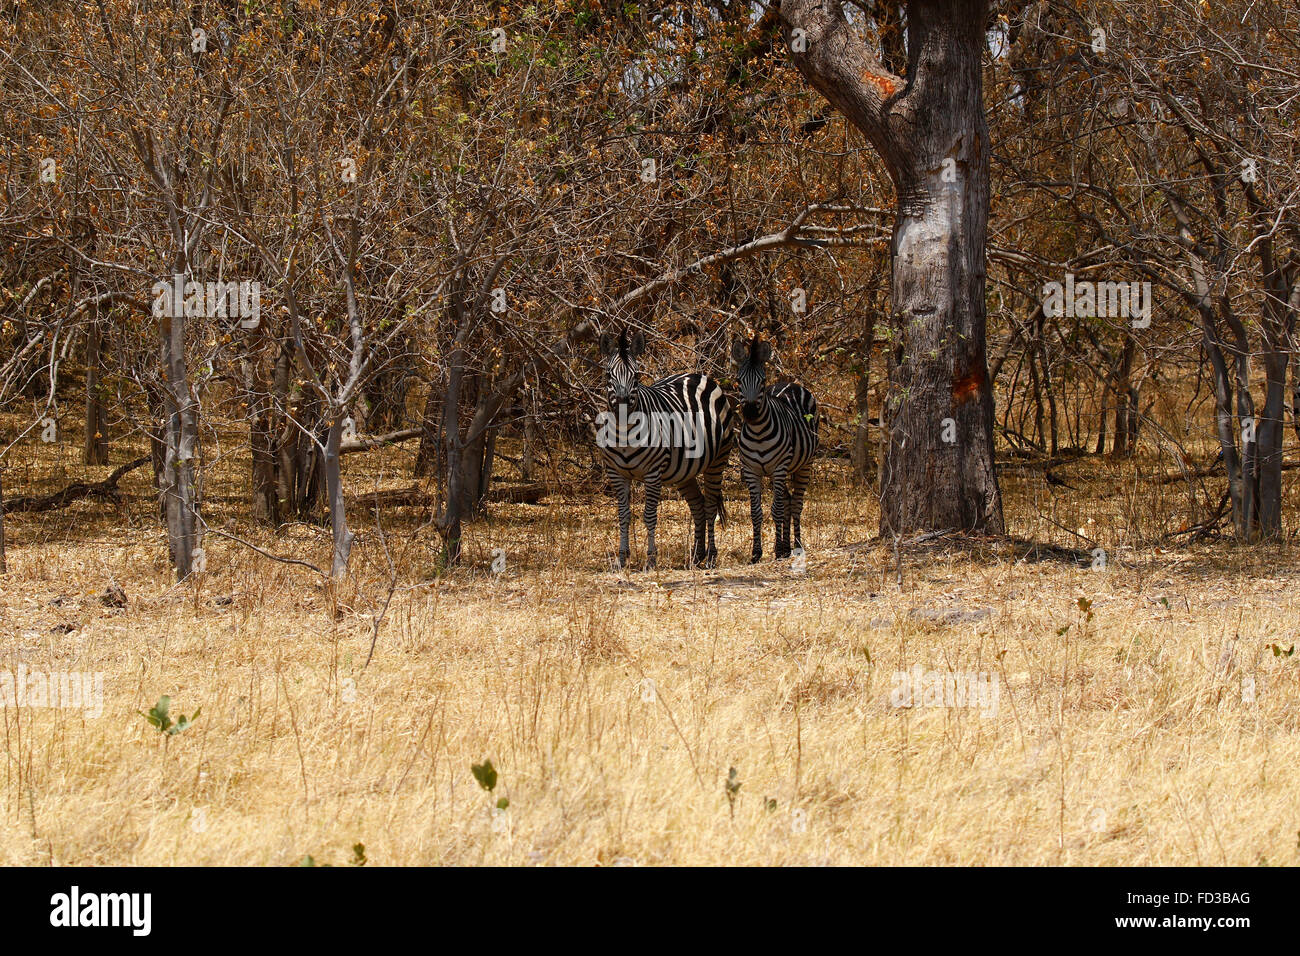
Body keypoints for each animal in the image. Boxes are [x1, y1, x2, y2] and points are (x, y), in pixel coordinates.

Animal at [596, 329, 734, 569]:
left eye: (636, 376)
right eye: (608, 376)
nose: (622, 405)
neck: (625, 435)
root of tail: (698, 376)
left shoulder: (653, 473)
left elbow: (649, 515)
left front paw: (651, 560)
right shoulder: (616, 473)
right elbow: (623, 515)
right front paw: (622, 558)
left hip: (717, 461)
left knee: (709, 506)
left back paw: (711, 557)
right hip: (685, 471)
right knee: (698, 505)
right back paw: (696, 555)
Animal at [731, 335, 819, 562]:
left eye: (762, 382)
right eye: (739, 381)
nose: (750, 413)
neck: (758, 433)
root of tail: (789, 383)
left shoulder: (779, 468)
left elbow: (776, 509)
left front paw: (778, 550)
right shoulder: (751, 471)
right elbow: (756, 512)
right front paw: (756, 553)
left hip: (804, 464)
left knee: (795, 504)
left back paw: (795, 545)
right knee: (788, 500)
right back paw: (787, 547)